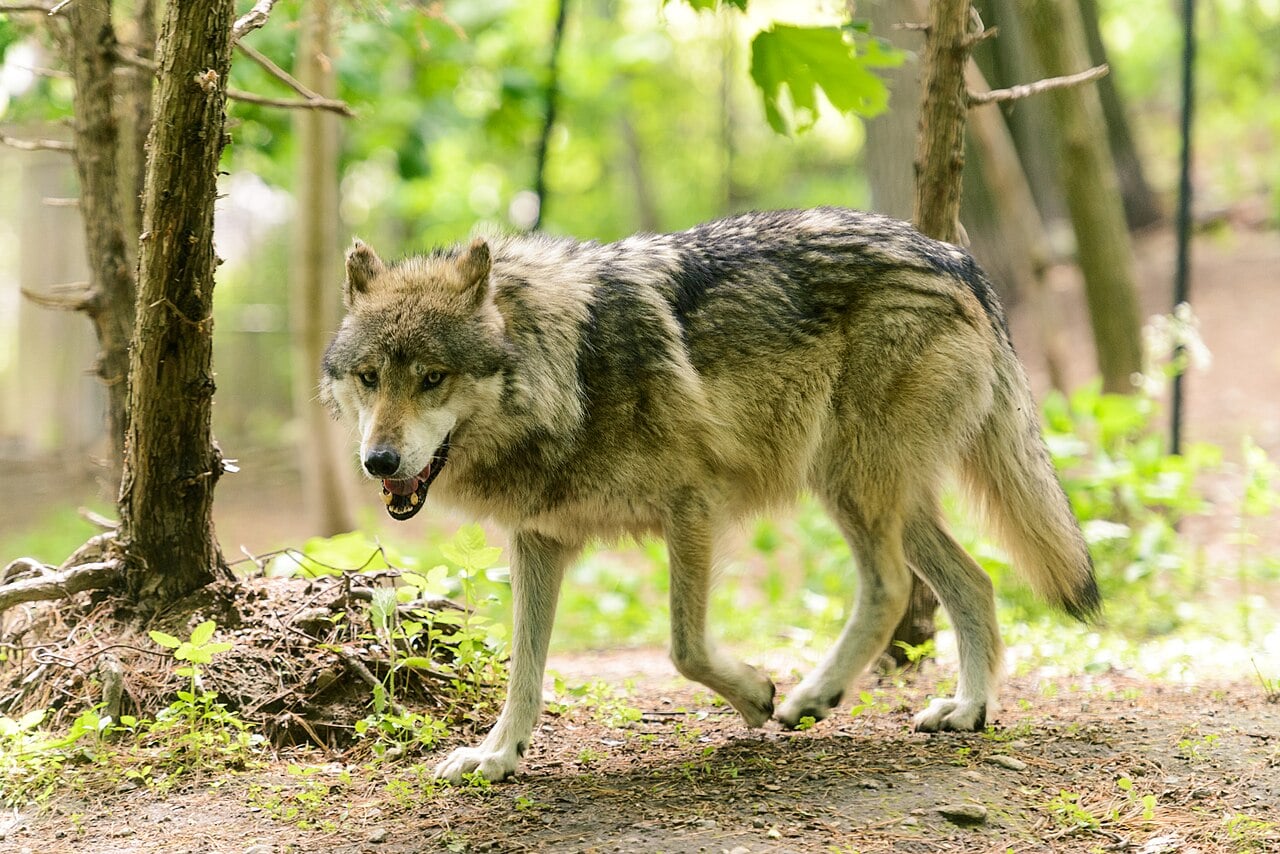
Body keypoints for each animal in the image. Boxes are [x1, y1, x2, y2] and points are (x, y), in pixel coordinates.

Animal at [320, 207, 1098, 783]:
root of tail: (955, 258)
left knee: (891, 589)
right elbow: (526, 669)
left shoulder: (693, 506)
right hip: (879, 495)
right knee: (975, 583)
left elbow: (684, 648)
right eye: (369, 378)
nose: (378, 461)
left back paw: (812, 696)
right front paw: (497, 756)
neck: (568, 368)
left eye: (432, 378)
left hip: (850, 484)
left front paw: (757, 694)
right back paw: (967, 710)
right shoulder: (539, 539)